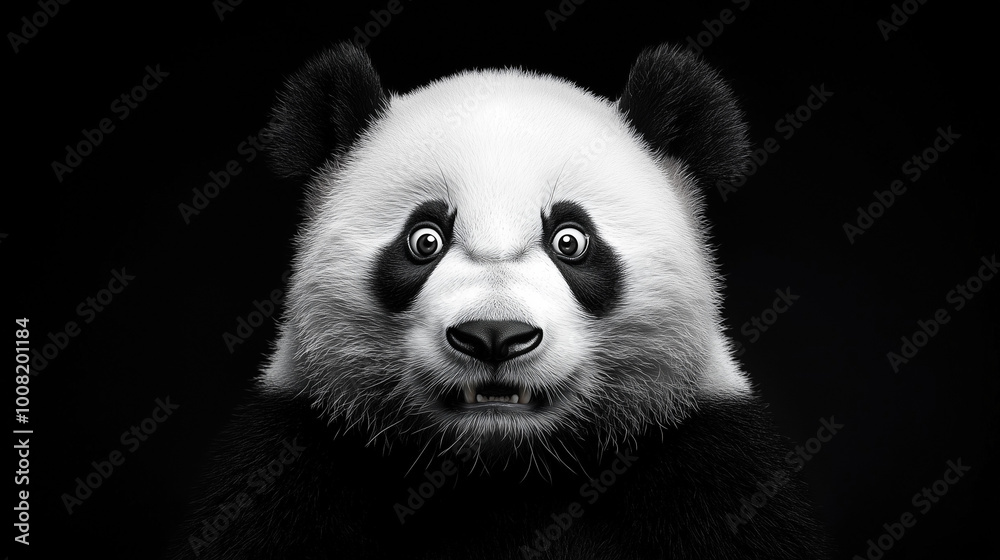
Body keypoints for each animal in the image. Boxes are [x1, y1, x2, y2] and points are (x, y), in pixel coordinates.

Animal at [169, 43, 831, 559]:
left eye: (571, 240)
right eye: (424, 240)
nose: (493, 336)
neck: (503, 468)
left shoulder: (709, 468)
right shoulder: (295, 461)